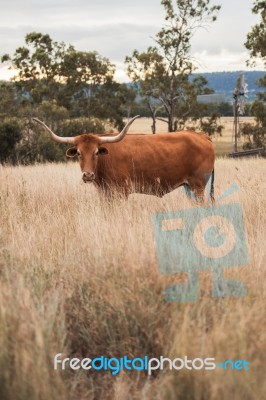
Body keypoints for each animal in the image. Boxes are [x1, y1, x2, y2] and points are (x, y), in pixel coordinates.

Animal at [32, 117, 215, 202]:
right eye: (78, 153)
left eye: (97, 152)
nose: (88, 175)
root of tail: (202, 136)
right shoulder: (104, 194)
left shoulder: (121, 192)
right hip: (189, 188)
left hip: (198, 187)